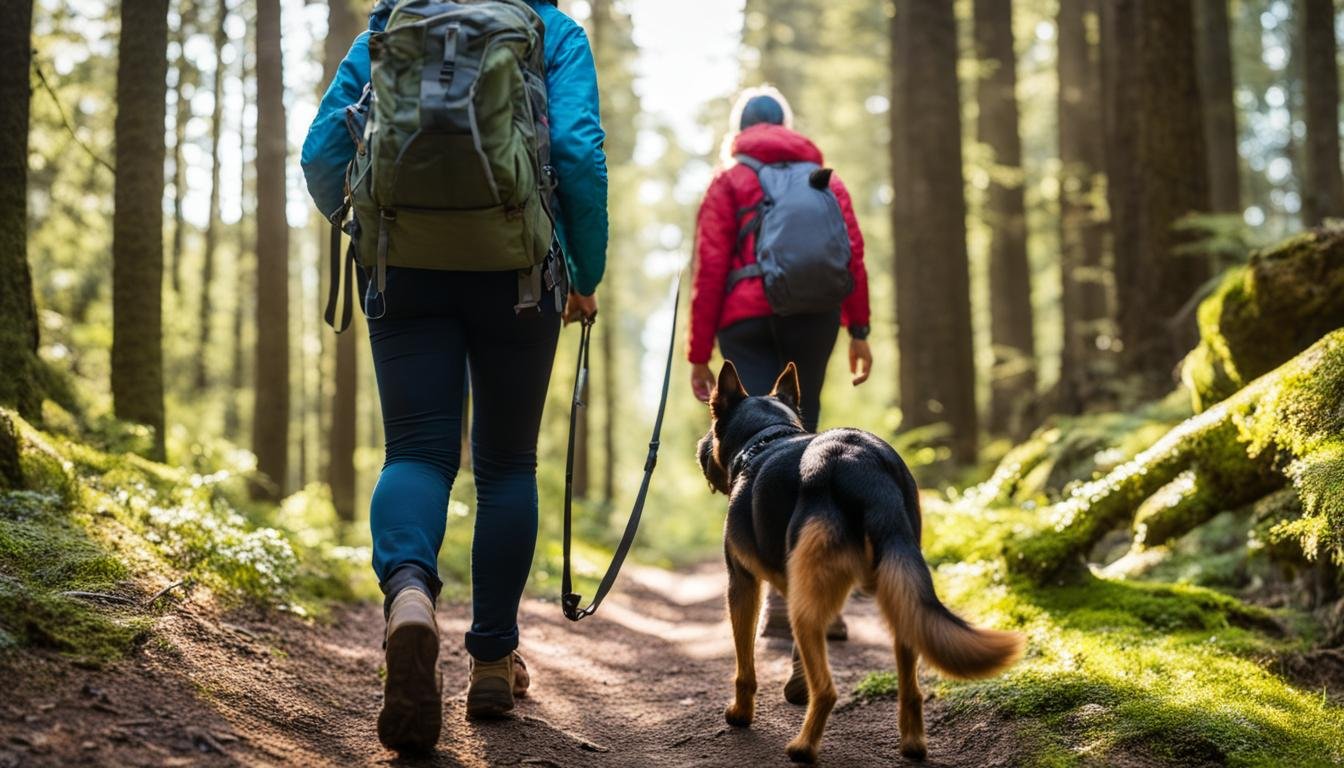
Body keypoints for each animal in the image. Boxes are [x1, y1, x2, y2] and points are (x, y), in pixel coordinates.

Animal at [698, 365, 1021, 763]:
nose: (700, 448)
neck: (766, 437)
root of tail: (864, 468)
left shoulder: (741, 584)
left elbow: (745, 666)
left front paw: (741, 714)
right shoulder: (793, 585)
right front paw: (796, 687)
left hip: (808, 604)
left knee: (827, 691)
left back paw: (803, 747)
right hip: (899, 585)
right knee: (910, 687)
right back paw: (912, 744)